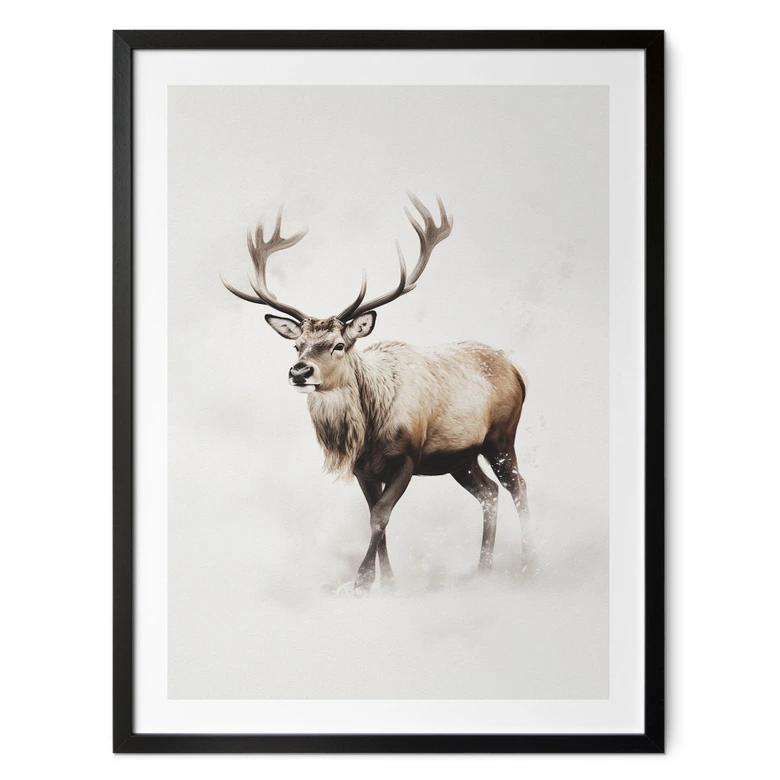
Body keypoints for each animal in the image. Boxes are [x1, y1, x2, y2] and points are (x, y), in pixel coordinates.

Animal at [222, 193, 529, 596]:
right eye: (297, 345)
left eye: (338, 345)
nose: (300, 371)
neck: (367, 431)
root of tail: (517, 371)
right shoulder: (363, 468)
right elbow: (374, 516)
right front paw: (388, 584)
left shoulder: (408, 456)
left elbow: (380, 515)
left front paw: (362, 584)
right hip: (459, 458)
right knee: (490, 492)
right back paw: (483, 571)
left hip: (501, 437)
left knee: (518, 487)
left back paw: (530, 564)